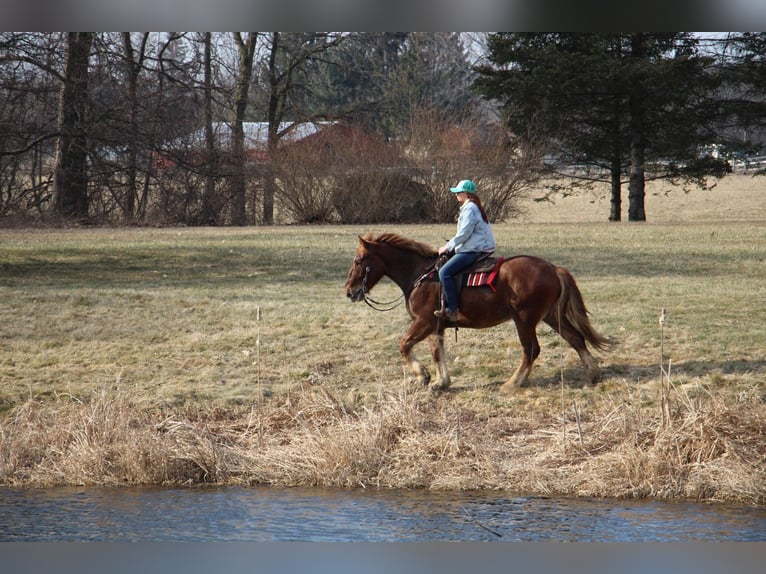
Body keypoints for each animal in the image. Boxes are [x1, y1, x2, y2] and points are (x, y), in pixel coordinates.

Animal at [344, 233, 616, 392]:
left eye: (359, 260)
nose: (349, 291)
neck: (421, 274)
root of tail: (553, 268)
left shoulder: (423, 322)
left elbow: (404, 344)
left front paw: (422, 376)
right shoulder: (435, 325)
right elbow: (437, 351)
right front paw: (441, 381)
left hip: (524, 320)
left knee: (531, 350)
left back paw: (513, 383)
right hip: (550, 316)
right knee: (575, 338)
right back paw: (592, 375)